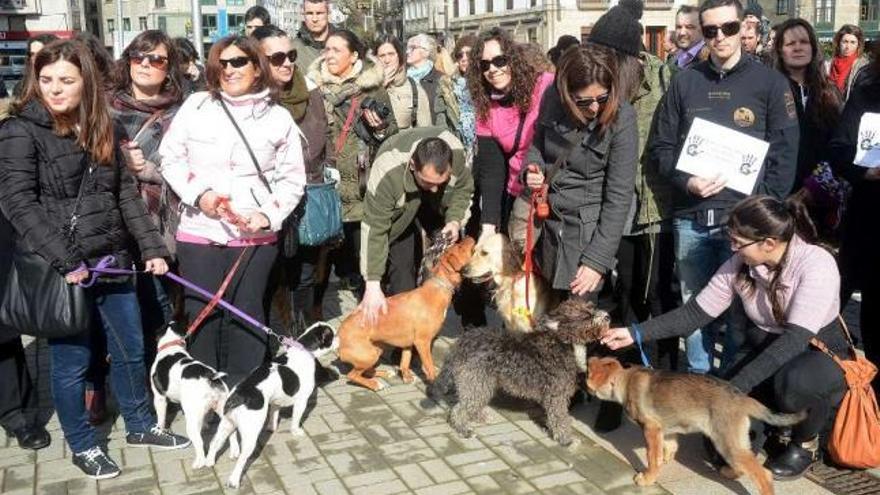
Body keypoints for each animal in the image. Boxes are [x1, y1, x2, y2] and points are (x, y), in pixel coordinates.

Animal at [338, 236, 478, 392]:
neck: (438, 287)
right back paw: (375, 384)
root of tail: (338, 336)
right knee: (352, 375)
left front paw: (406, 376)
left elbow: (405, 361)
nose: (469, 236)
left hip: (376, 349)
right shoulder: (422, 342)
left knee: (367, 371)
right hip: (369, 354)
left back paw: (384, 373)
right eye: (459, 247)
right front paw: (435, 383)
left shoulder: (408, 342)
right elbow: (429, 366)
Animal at [428, 300, 608, 448]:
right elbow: (559, 417)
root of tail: (465, 340)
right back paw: (463, 428)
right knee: (461, 408)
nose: (607, 316)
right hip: (477, 379)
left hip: (482, 382)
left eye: (592, 306)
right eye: (585, 315)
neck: (563, 341)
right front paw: (566, 439)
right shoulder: (556, 395)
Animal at [584, 356, 804, 495]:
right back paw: (729, 472)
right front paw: (664, 461)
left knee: (763, 474)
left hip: (726, 442)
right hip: (736, 442)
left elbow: (651, 457)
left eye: (586, 374)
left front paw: (648, 478)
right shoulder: (665, 429)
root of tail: (741, 398)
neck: (624, 381)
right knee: (747, 464)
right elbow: (669, 447)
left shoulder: (650, 428)